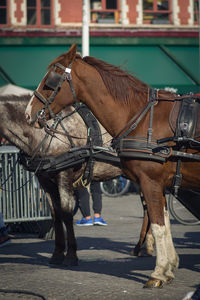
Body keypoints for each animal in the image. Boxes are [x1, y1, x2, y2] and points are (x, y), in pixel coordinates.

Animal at [25, 43, 200, 288]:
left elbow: (158, 225)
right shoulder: (159, 184)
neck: (140, 117)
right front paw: (168, 267)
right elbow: (164, 224)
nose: (28, 113)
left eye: (51, 80)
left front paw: (158, 273)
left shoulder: (150, 182)